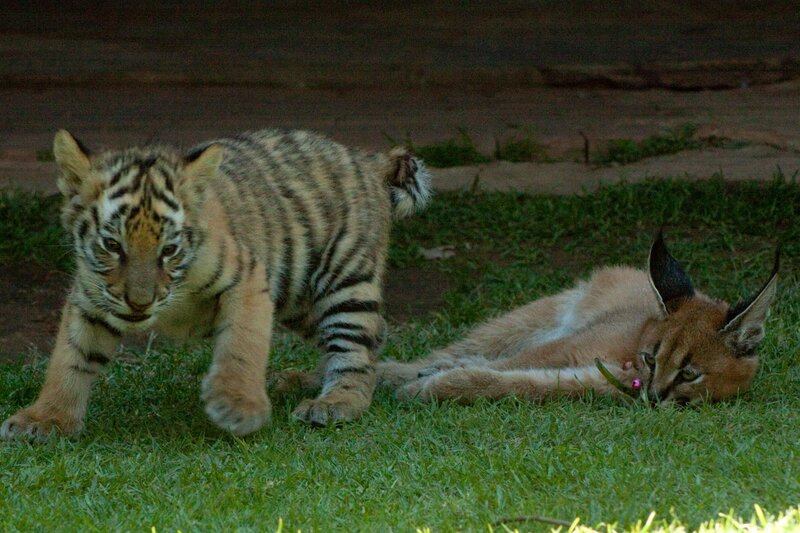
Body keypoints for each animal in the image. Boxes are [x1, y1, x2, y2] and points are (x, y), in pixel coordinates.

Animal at [0, 128, 431, 441]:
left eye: (169, 250)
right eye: (112, 245)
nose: (139, 304)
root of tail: (366, 158)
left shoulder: (247, 279)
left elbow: (241, 346)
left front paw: (238, 406)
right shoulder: (92, 298)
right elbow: (69, 359)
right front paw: (44, 419)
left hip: (343, 282)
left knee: (356, 349)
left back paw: (334, 402)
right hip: (300, 299)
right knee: (376, 334)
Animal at [378, 233, 778, 405]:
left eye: (689, 374)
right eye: (651, 358)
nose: (652, 396)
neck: (630, 363)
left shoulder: (590, 379)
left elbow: (512, 384)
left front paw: (432, 388)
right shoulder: (565, 347)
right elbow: (505, 364)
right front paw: (415, 382)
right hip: (530, 320)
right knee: (462, 349)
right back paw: (388, 371)